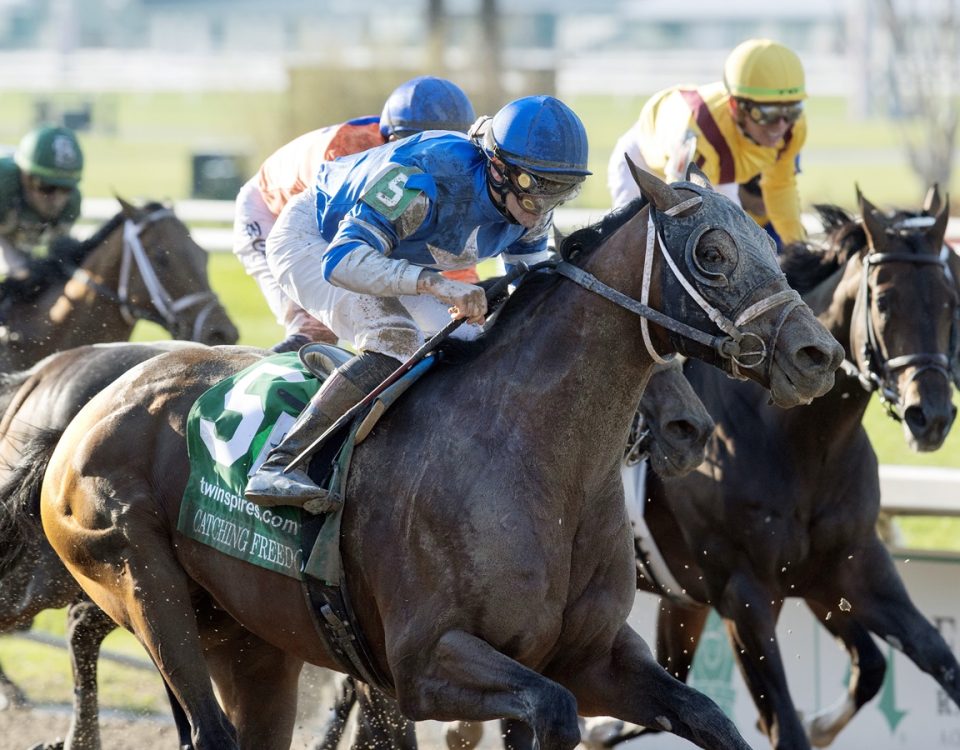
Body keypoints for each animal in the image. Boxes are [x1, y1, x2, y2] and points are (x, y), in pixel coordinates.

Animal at [37, 167, 836, 750]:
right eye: (712, 252)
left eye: (772, 248)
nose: (816, 354)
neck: (536, 462)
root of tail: (93, 404)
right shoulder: (426, 664)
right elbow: (551, 713)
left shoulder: (594, 658)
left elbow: (709, 717)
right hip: (144, 587)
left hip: (250, 639)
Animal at [608, 188, 960, 750]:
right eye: (884, 301)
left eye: (951, 301)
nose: (931, 416)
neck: (802, 447)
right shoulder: (745, 596)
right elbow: (786, 726)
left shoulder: (848, 569)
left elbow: (912, 660)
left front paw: (820, 723)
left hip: (685, 599)